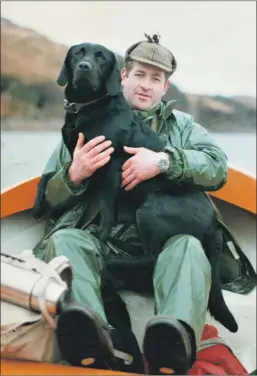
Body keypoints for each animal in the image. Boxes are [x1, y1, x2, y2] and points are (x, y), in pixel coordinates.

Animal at [55, 42, 237, 334]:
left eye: (101, 58)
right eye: (77, 54)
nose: (84, 67)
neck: (91, 106)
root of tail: (213, 221)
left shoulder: (111, 168)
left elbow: (106, 213)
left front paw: (100, 238)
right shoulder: (83, 160)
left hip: (151, 208)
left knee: (154, 257)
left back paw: (112, 261)